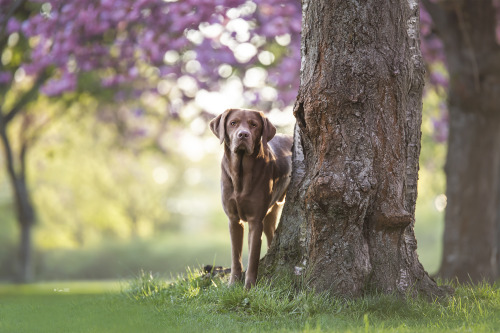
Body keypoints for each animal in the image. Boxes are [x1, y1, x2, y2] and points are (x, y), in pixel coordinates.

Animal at [208, 107, 292, 286]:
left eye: (254, 125)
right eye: (233, 123)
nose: (243, 135)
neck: (240, 173)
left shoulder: (255, 220)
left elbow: (253, 256)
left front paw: (249, 286)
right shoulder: (234, 220)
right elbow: (236, 256)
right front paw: (233, 284)